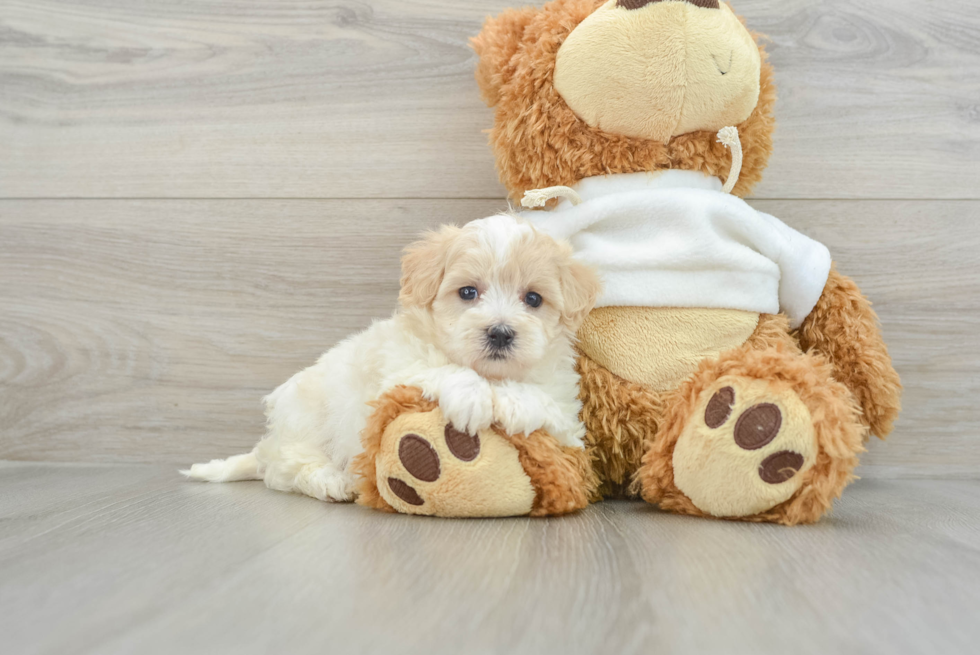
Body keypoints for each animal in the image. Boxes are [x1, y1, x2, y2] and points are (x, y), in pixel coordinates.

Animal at [180, 215, 600, 502]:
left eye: (533, 299)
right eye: (468, 292)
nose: (499, 332)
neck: (489, 373)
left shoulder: (567, 412)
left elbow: (542, 401)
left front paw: (514, 402)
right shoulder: (398, 370)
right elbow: (439, 370)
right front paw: (472, 397)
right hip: (305, 418)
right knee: (289, 466)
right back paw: (332, 481)